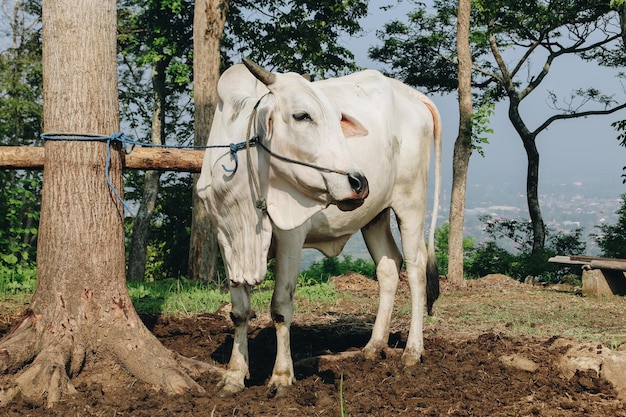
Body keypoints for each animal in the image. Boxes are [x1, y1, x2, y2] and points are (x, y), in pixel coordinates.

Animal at [197, 59, 442, 396]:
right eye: (302, 115)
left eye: (338, 119)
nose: (358, 182)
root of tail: (411, 95)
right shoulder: (227, 238)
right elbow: (239, 310)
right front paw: (234, 375)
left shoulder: (291, 236)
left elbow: (280, 306)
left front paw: (281, 377)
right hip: (375, 216)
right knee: (389, 267)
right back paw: (373, 346)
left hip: (410, 203)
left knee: (417, 269)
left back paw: (412, 351)